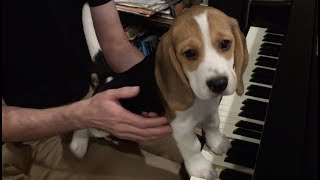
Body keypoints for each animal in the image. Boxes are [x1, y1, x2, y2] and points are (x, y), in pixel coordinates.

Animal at [72, 3, 248, 180]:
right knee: (86, 118)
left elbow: (213, 125)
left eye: (225, 43)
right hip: (102, 123)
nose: (218, 84)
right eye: (190, 53)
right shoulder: (181, 125)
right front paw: (200, 168)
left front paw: (217, 143)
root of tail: (110, 78)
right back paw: (78, 143)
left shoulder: (211, 108)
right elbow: (192, 146)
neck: (198, 99)